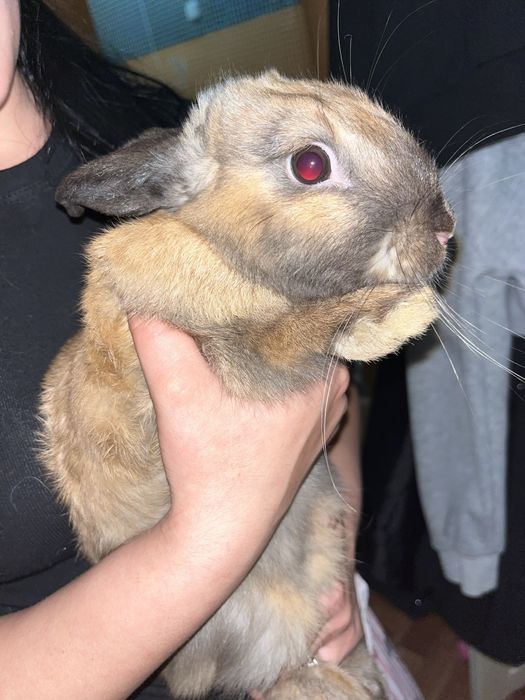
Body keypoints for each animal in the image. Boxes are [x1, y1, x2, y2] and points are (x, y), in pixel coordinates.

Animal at [40, 70, 454, 699]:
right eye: (310, 165)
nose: (445, 227)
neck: (224, 253)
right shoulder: (233, 357)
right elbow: (293, 336)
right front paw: (402, 312)